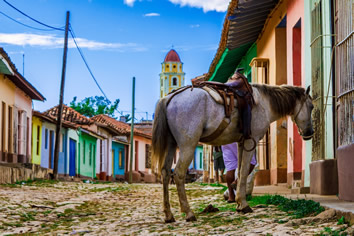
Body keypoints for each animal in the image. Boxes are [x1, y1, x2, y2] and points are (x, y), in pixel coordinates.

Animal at [151, 83, 314, 223]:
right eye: (311, 107)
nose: (310, 132)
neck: (264, 102)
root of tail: (167, 99)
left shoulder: (241, 142)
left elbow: (240, 171)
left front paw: (239, 203)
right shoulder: (250, 141)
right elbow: (243, 171)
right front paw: (243, 204)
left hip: (171, 144)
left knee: (165, 173)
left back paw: (168, 215)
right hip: (188, 146)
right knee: (178, 173)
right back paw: (189, 213)